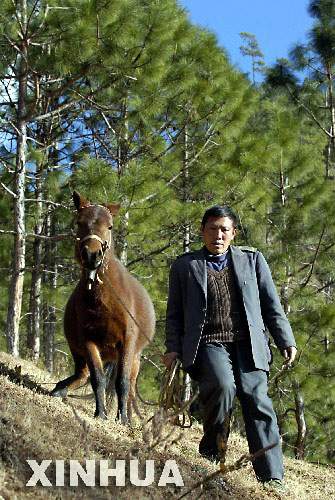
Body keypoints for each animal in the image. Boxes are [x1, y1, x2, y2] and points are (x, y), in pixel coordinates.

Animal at [51, 191, 156, 422]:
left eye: (109, 226)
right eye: (79, 222)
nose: (92, 255)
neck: (104, 300)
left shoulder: (127, 342)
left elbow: (122, 382)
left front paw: (122, 418)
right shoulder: (89, 343)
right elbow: (97, 378)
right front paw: (101, 414)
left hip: (135, 359)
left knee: (130, 386)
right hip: (79, 351)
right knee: (82, 375)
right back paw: (59, 390)